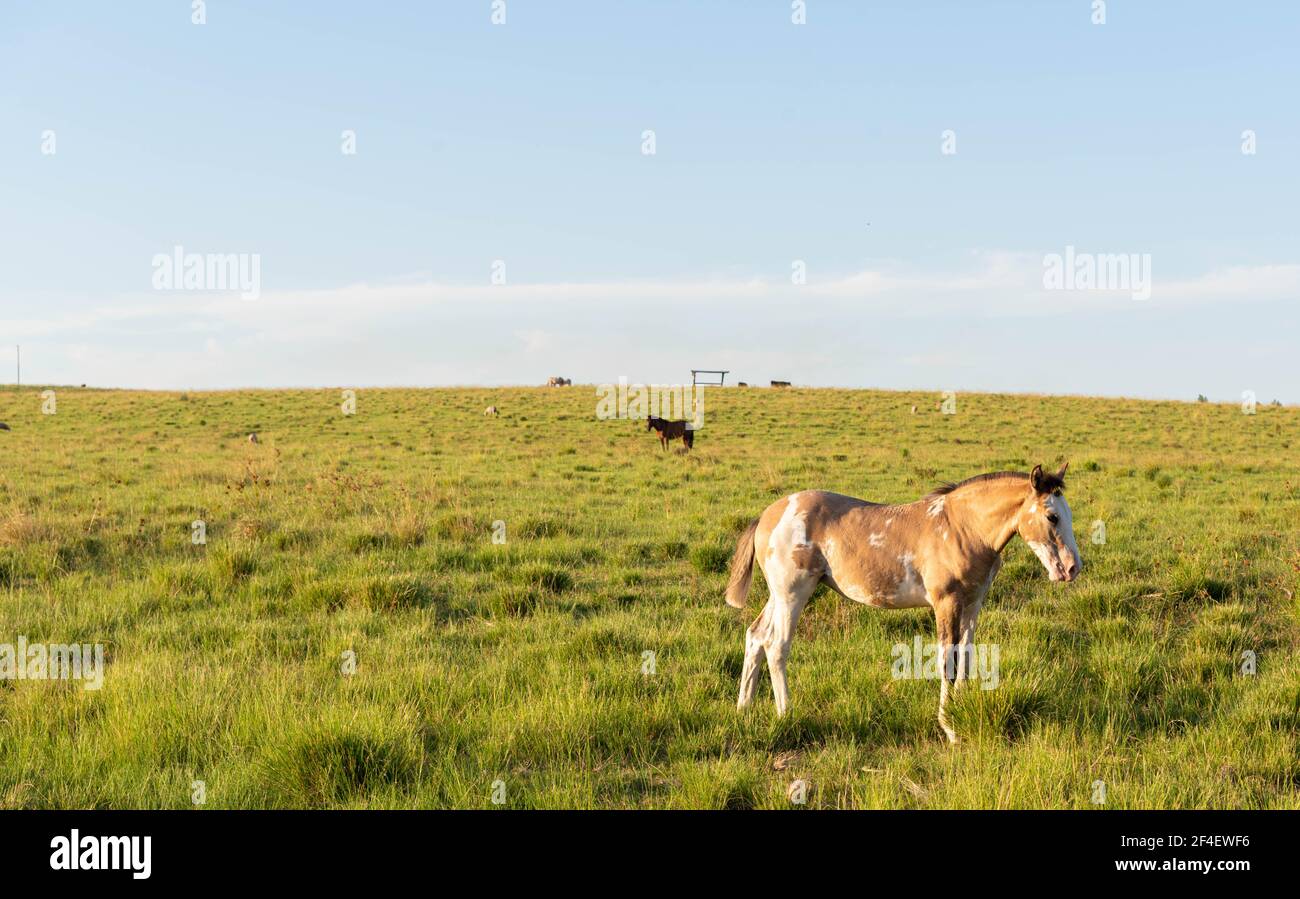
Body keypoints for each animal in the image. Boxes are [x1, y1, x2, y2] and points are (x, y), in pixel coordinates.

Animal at [724, 464, 1080, 742]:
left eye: (1068, 515)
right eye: (1052, 516)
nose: (1072, 568)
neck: (962, 529)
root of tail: (767, 515)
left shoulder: (973, 604)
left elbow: (966, 657)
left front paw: (961, 713)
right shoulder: (945, 603)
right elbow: (947, 661)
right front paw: (949, 728)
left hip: (778, 596)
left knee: (755, 636)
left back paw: (744, 709)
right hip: (793, 594)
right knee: (777, 645)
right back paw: (786, 714)